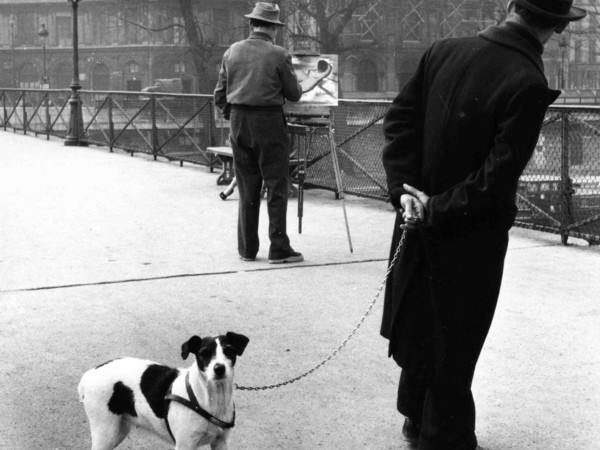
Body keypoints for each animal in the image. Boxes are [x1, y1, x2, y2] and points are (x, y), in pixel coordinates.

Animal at [79, 332, 248, 448]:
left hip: (119, 430)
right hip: (105, 432)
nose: (219, 368)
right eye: (203, 353)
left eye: (229, 351)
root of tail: (90, 374)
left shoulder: (220, 442)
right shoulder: (185, 445)